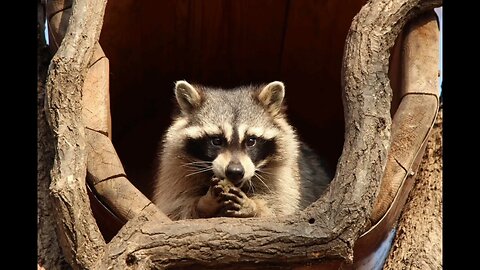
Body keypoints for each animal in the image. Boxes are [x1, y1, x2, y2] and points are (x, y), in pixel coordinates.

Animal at [152, 80, 332, 219]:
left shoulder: (285, 176)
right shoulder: (176, 170)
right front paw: (204, 203)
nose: (235, 171)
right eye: (217, 141)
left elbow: (280, 209)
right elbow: (176, 209)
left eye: (251, 141)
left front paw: (254, 206)